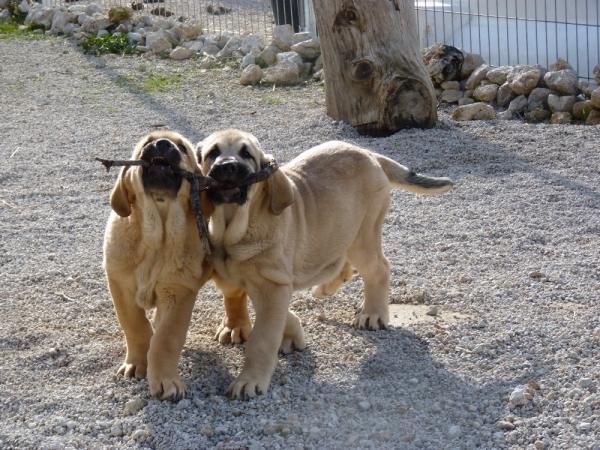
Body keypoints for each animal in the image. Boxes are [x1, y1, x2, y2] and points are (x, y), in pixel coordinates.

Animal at [104, 130, 245, 400]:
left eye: (181, 148)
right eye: (147, 142)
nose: (162, 143)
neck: (155, 237)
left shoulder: (177, 293)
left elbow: (166, 339)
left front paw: (165, 380)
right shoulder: (121, 287)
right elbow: (135, 327)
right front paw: (137, 363)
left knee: (235, 297)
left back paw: (236, 327)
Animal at [198, 128, 454, 400]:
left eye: (246, 154)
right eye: (212, 153)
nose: (227, 166)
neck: (233, 228)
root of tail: (369, 153)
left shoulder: (272, 285)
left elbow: (263, 337)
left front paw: (250, 380)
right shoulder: (239, 276)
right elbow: (237, 299)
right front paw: (240, 327)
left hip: (363, 235)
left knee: (379, 268)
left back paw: (373, 313)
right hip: (341, 231)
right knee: (343, 261)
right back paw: (327, 288)